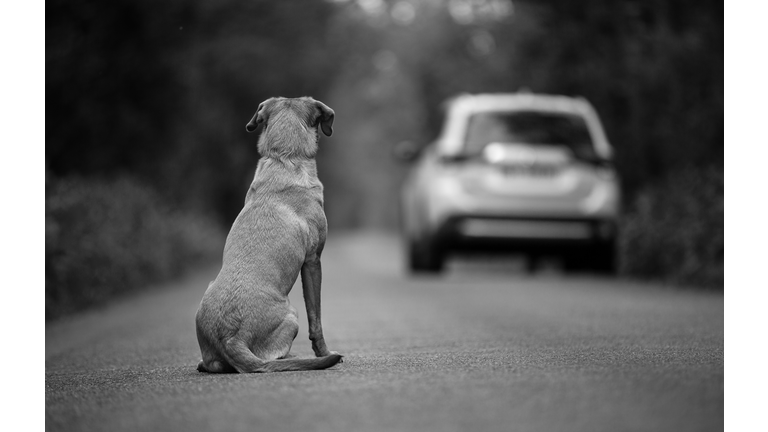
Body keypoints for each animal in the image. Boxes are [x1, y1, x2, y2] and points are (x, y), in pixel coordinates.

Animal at [195, 96, 342, 372]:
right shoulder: (313, 261)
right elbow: (316, 319)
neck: (284, 157)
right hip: (292, 316)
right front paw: (324, 352)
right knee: (275, 356)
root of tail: (231, 338)